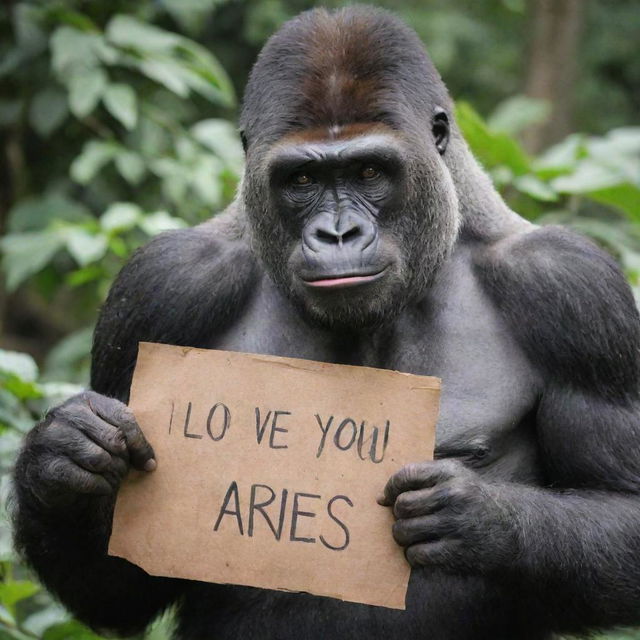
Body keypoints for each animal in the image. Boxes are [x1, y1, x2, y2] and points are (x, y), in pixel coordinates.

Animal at [11, 6, 640, 640]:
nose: (338, 234)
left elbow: (625, 507)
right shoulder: (159, 286)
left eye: (369, 171)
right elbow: (119, 585)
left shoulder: (574, 289)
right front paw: (62, 458)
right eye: (302, 181)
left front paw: (477, 518)